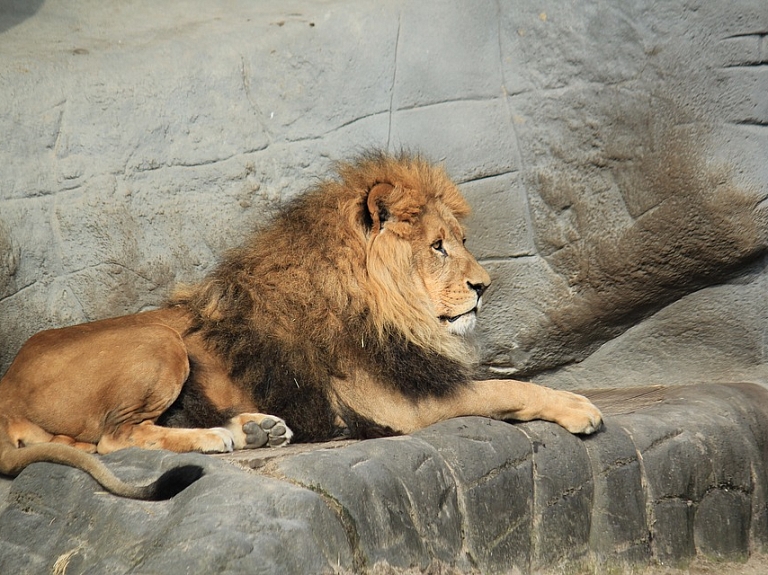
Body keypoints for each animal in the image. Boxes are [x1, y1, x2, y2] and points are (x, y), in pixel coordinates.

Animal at [0, 152, 600, 500]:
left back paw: (257, 429)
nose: (485, 286)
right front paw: (579, 408)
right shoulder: (400, 404)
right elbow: (506, 387)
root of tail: (5, 388)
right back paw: (217, 436)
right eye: (437, 247)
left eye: (463, 240)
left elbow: (505, 380)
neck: (384, 306)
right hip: (159, 341)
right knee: (113, 438)